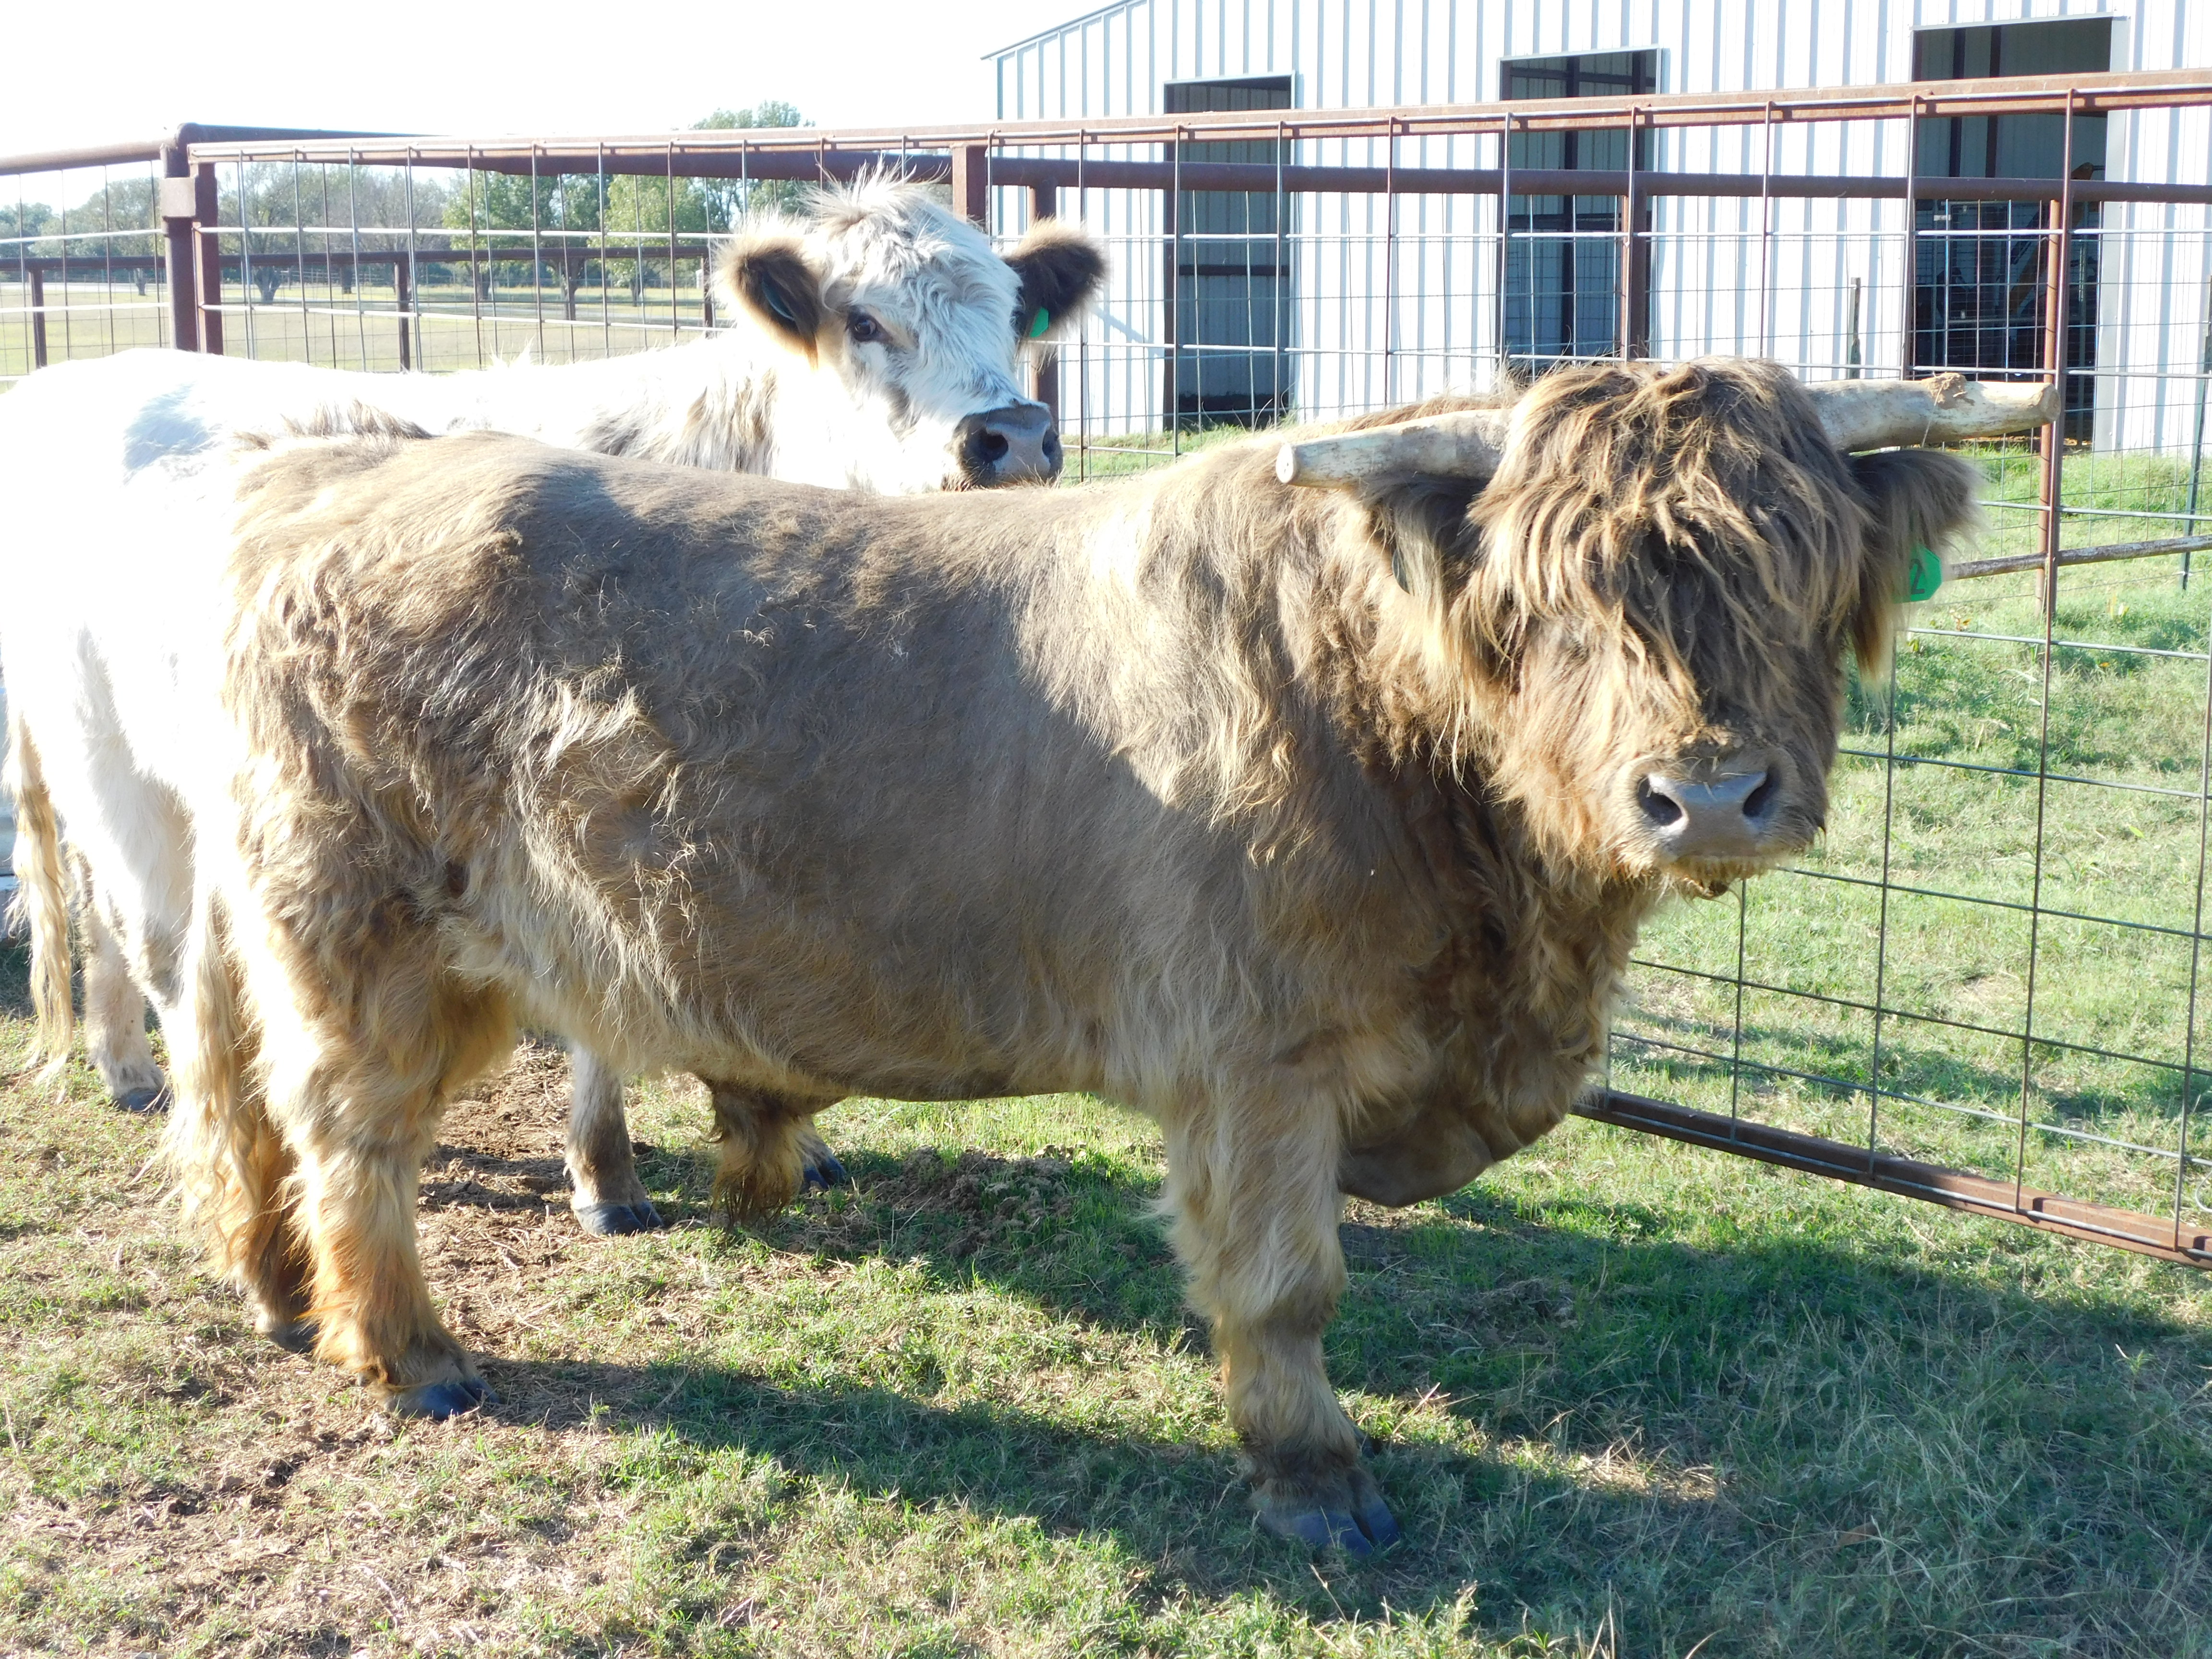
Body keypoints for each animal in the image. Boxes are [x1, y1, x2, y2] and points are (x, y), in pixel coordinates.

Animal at [0, 176, 1104, 1236]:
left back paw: (124, 1066)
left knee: (103, 908)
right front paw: (604, 1175)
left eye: (1015, 315)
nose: (1013, 435)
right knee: (155, 940)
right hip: (110, 753)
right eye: (865, 319)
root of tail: (63, 385)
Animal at [134, 358, 2046, 1552]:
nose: (1707, 791)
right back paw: (410, 1352)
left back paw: (284, 1293)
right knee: (346, 1135)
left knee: (248, 1106)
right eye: (1551, 599)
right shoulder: (1255, 1060)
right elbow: (1284, 1284)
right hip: (370, 935)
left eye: (1801, 572)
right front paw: (1312, 1481)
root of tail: (319, 465)